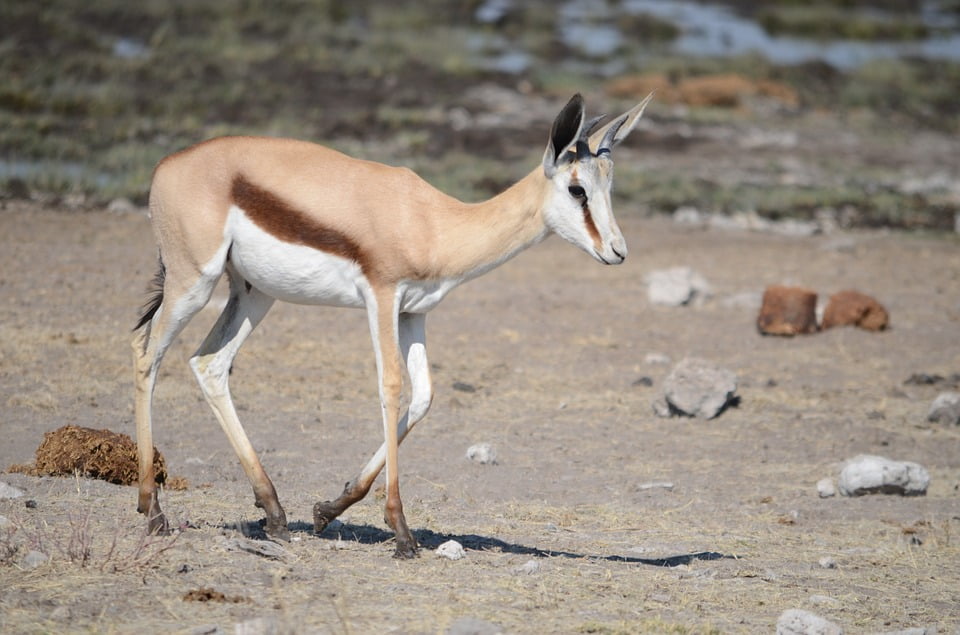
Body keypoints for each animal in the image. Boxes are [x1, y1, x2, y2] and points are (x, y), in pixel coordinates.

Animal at [132, 92, 653, 558]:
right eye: (576, 189)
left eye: (608, 187)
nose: (617, 251)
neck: (435, 223)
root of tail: (166, 165)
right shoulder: (381, 299)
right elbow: (391, 387)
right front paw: (401, 533)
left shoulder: (413, 313)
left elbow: (423, 397)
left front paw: (328, 510)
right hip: (193, 282)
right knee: (146, 355)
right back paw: (153, 511)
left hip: (254, 294)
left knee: (209, 364)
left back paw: (275, 514)